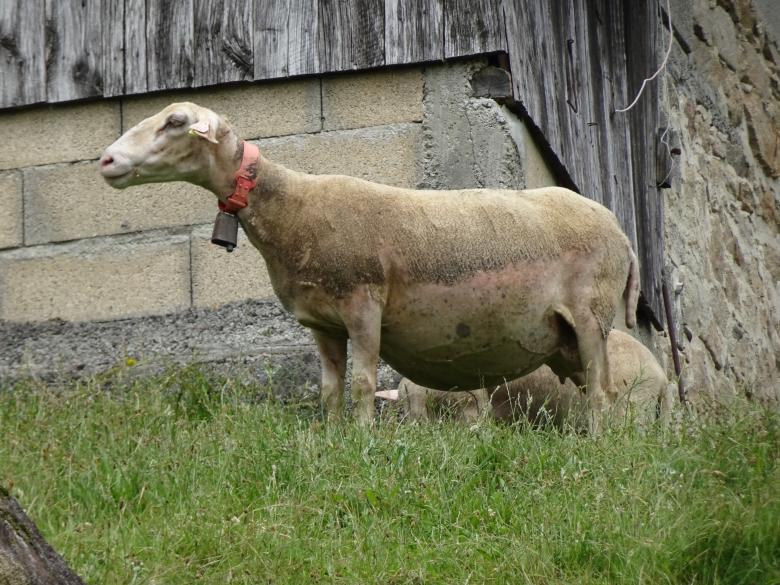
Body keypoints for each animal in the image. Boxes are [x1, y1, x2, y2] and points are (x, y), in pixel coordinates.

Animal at [99, 102, 640, 432]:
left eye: (174, 121)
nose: (105, 161)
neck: (290, 209)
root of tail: (621, 232)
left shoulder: (362, 302)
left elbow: (361, 383)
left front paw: (361, 441)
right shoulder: (321, 321)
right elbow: (328, 389)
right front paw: (333, 437)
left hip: (591, 314)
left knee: (602, 391)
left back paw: (601, 447)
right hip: (563, 339)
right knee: (601, 390)